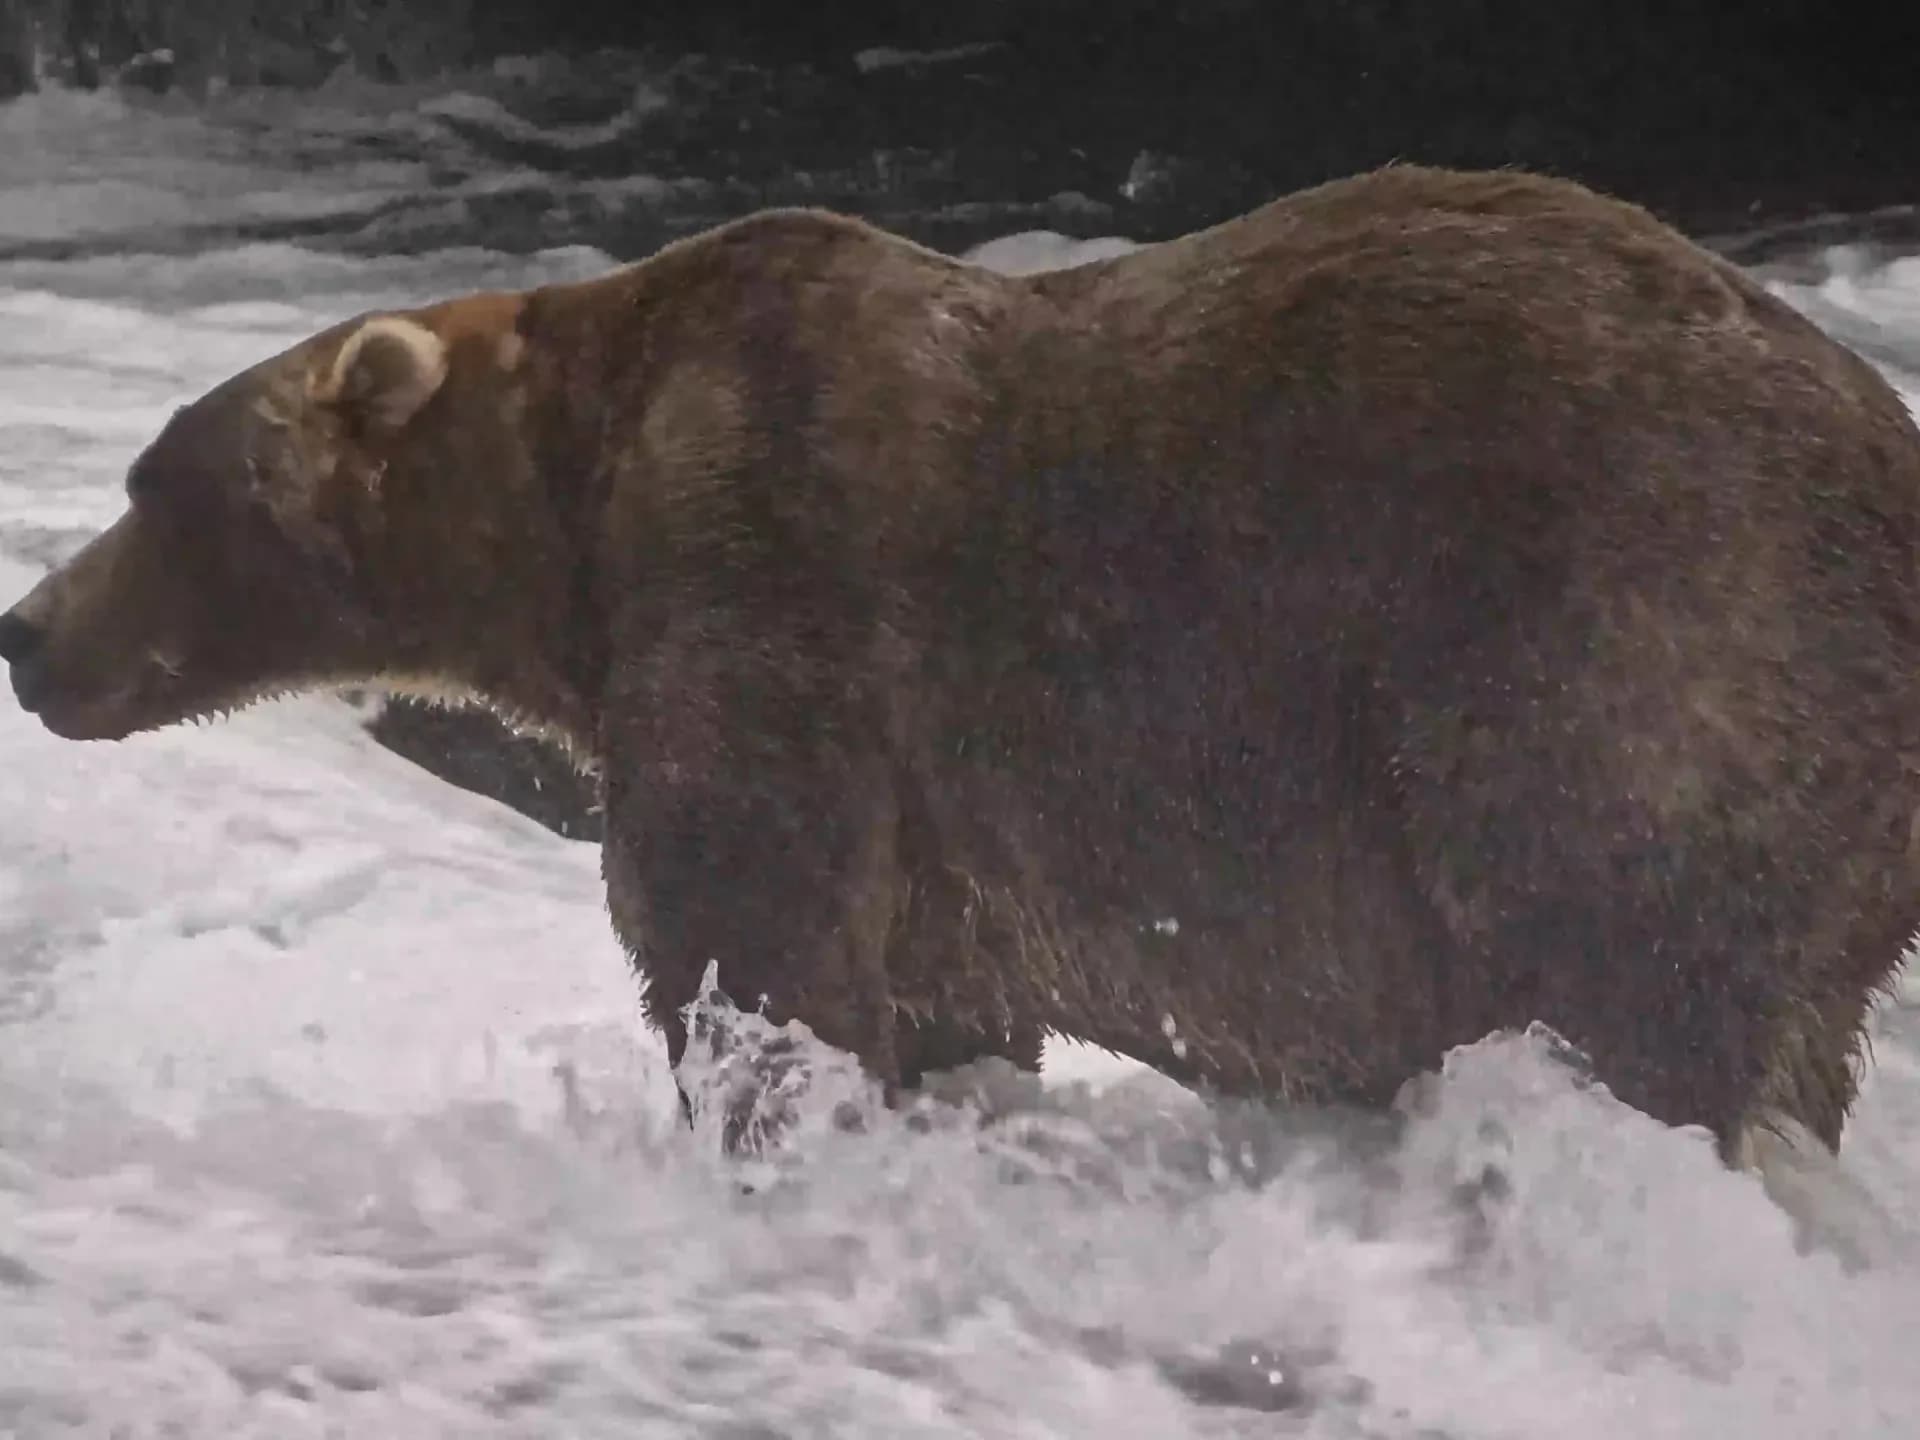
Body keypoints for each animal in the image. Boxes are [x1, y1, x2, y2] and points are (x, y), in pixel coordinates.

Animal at [4, 163, 1920, 1183]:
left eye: (154, 483)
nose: (27, 630)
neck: (572, 513)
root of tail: (1883, 444)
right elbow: (934, 1000)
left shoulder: (772, 592)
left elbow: (752, 943)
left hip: (1630, 639)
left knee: (1627, 958)